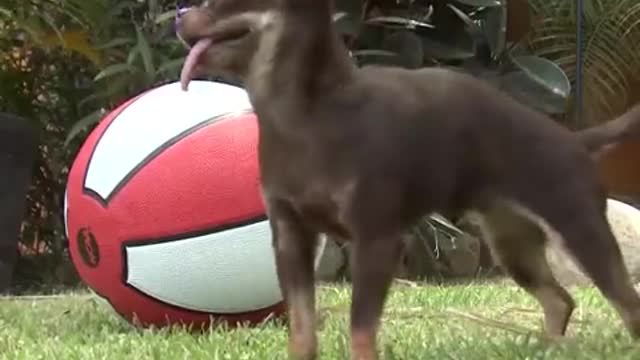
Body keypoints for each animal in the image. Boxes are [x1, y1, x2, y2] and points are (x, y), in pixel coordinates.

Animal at [178, 1, 640, 358]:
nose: (179, 13)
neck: (303, 114)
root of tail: (575, 139)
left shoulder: (377, 239)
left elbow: (360, 329)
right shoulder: (291, 237)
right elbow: (302, 329)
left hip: (582, 232)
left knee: (627, 305)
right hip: (514, 246)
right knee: (560, 300)